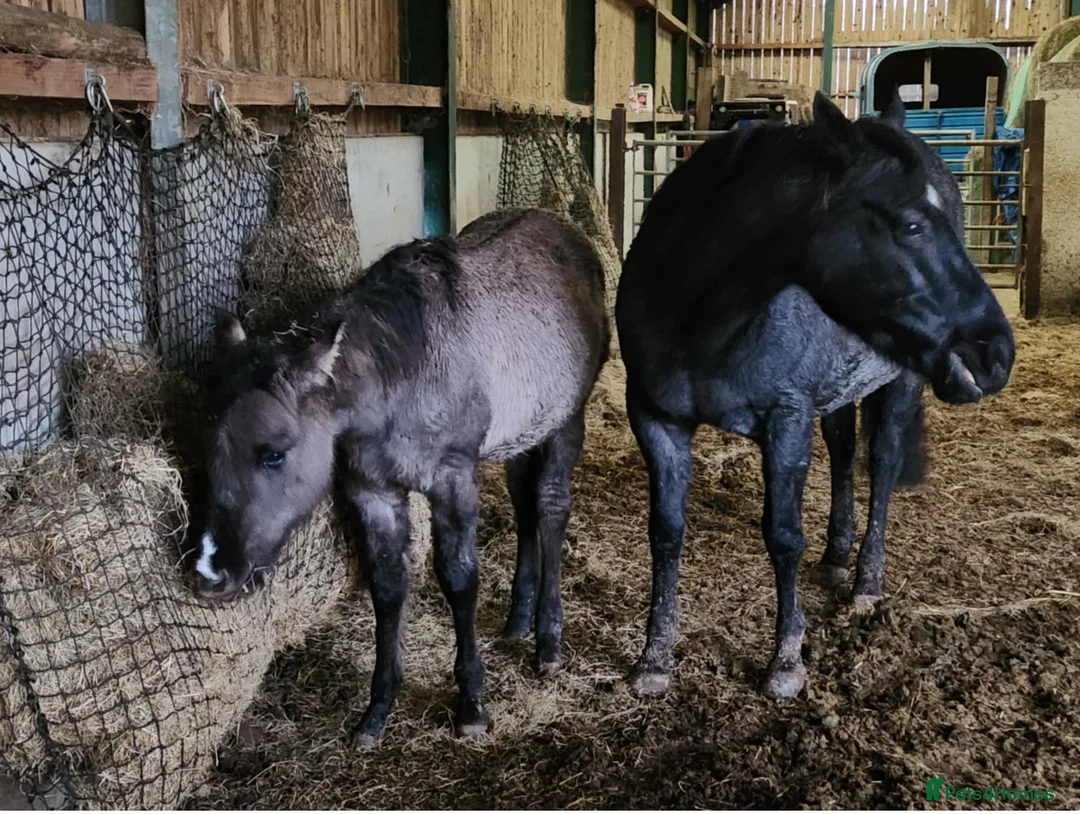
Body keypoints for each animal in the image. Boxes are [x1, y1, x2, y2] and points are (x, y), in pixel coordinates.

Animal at [193, 207, 610, 748]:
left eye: (274, 455)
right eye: (206, 446)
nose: (210, 574)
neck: (401, 369)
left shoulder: (453, 480)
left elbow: (459, 579)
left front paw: (471, 705)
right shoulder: (372, 492)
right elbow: (388, 585)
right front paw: (377, 711)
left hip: (565, 423)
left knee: (550, 509)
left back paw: (548, 640)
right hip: (520, 437)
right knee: (524, 509)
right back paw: (518, 617)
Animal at [614, 90, 1015, 700]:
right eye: (912, 224)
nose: (995, 355)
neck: (700, 316)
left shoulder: (786, 423)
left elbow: (783, 537)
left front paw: (785, 662)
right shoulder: (655, 419)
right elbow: (665, 532)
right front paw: (654, 660)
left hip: (900, 381)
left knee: (882, 466)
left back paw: (866, 584)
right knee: (845, 457)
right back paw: (836, 557)